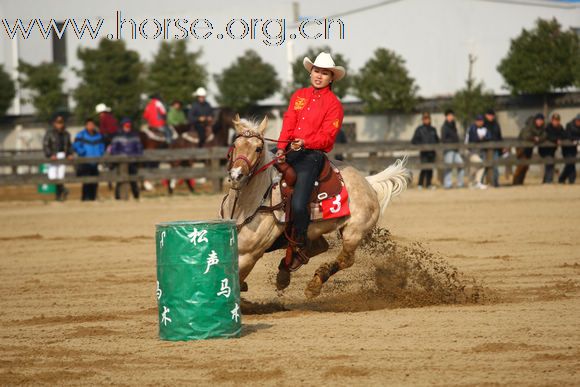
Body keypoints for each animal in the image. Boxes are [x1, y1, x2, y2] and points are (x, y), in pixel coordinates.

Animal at [220, 116, 410, 298]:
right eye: (235, 145)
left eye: (258, 148)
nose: (237, 176)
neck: (251, 203)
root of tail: (368, 183)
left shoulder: (249, 254)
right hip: (314, 229)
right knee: (319, 246)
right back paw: (286, 271)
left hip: (353, 232)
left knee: (346, 259)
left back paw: (314, 284)